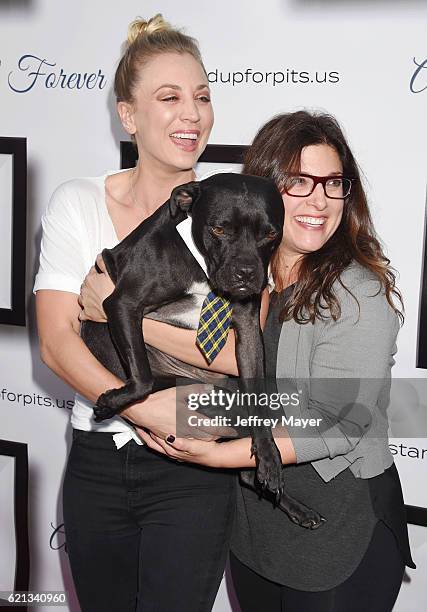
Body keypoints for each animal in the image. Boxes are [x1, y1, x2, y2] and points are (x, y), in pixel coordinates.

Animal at [81, 173, 324, 532]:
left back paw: (296, 505)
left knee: (248, 466)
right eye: (219, 229)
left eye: (270, 234)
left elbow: (258, 406)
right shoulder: (121, 304)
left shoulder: (248, 331)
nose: (246, 273)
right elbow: (141, 378)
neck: (202, 270)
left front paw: (269, 455)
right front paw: (111, 401)